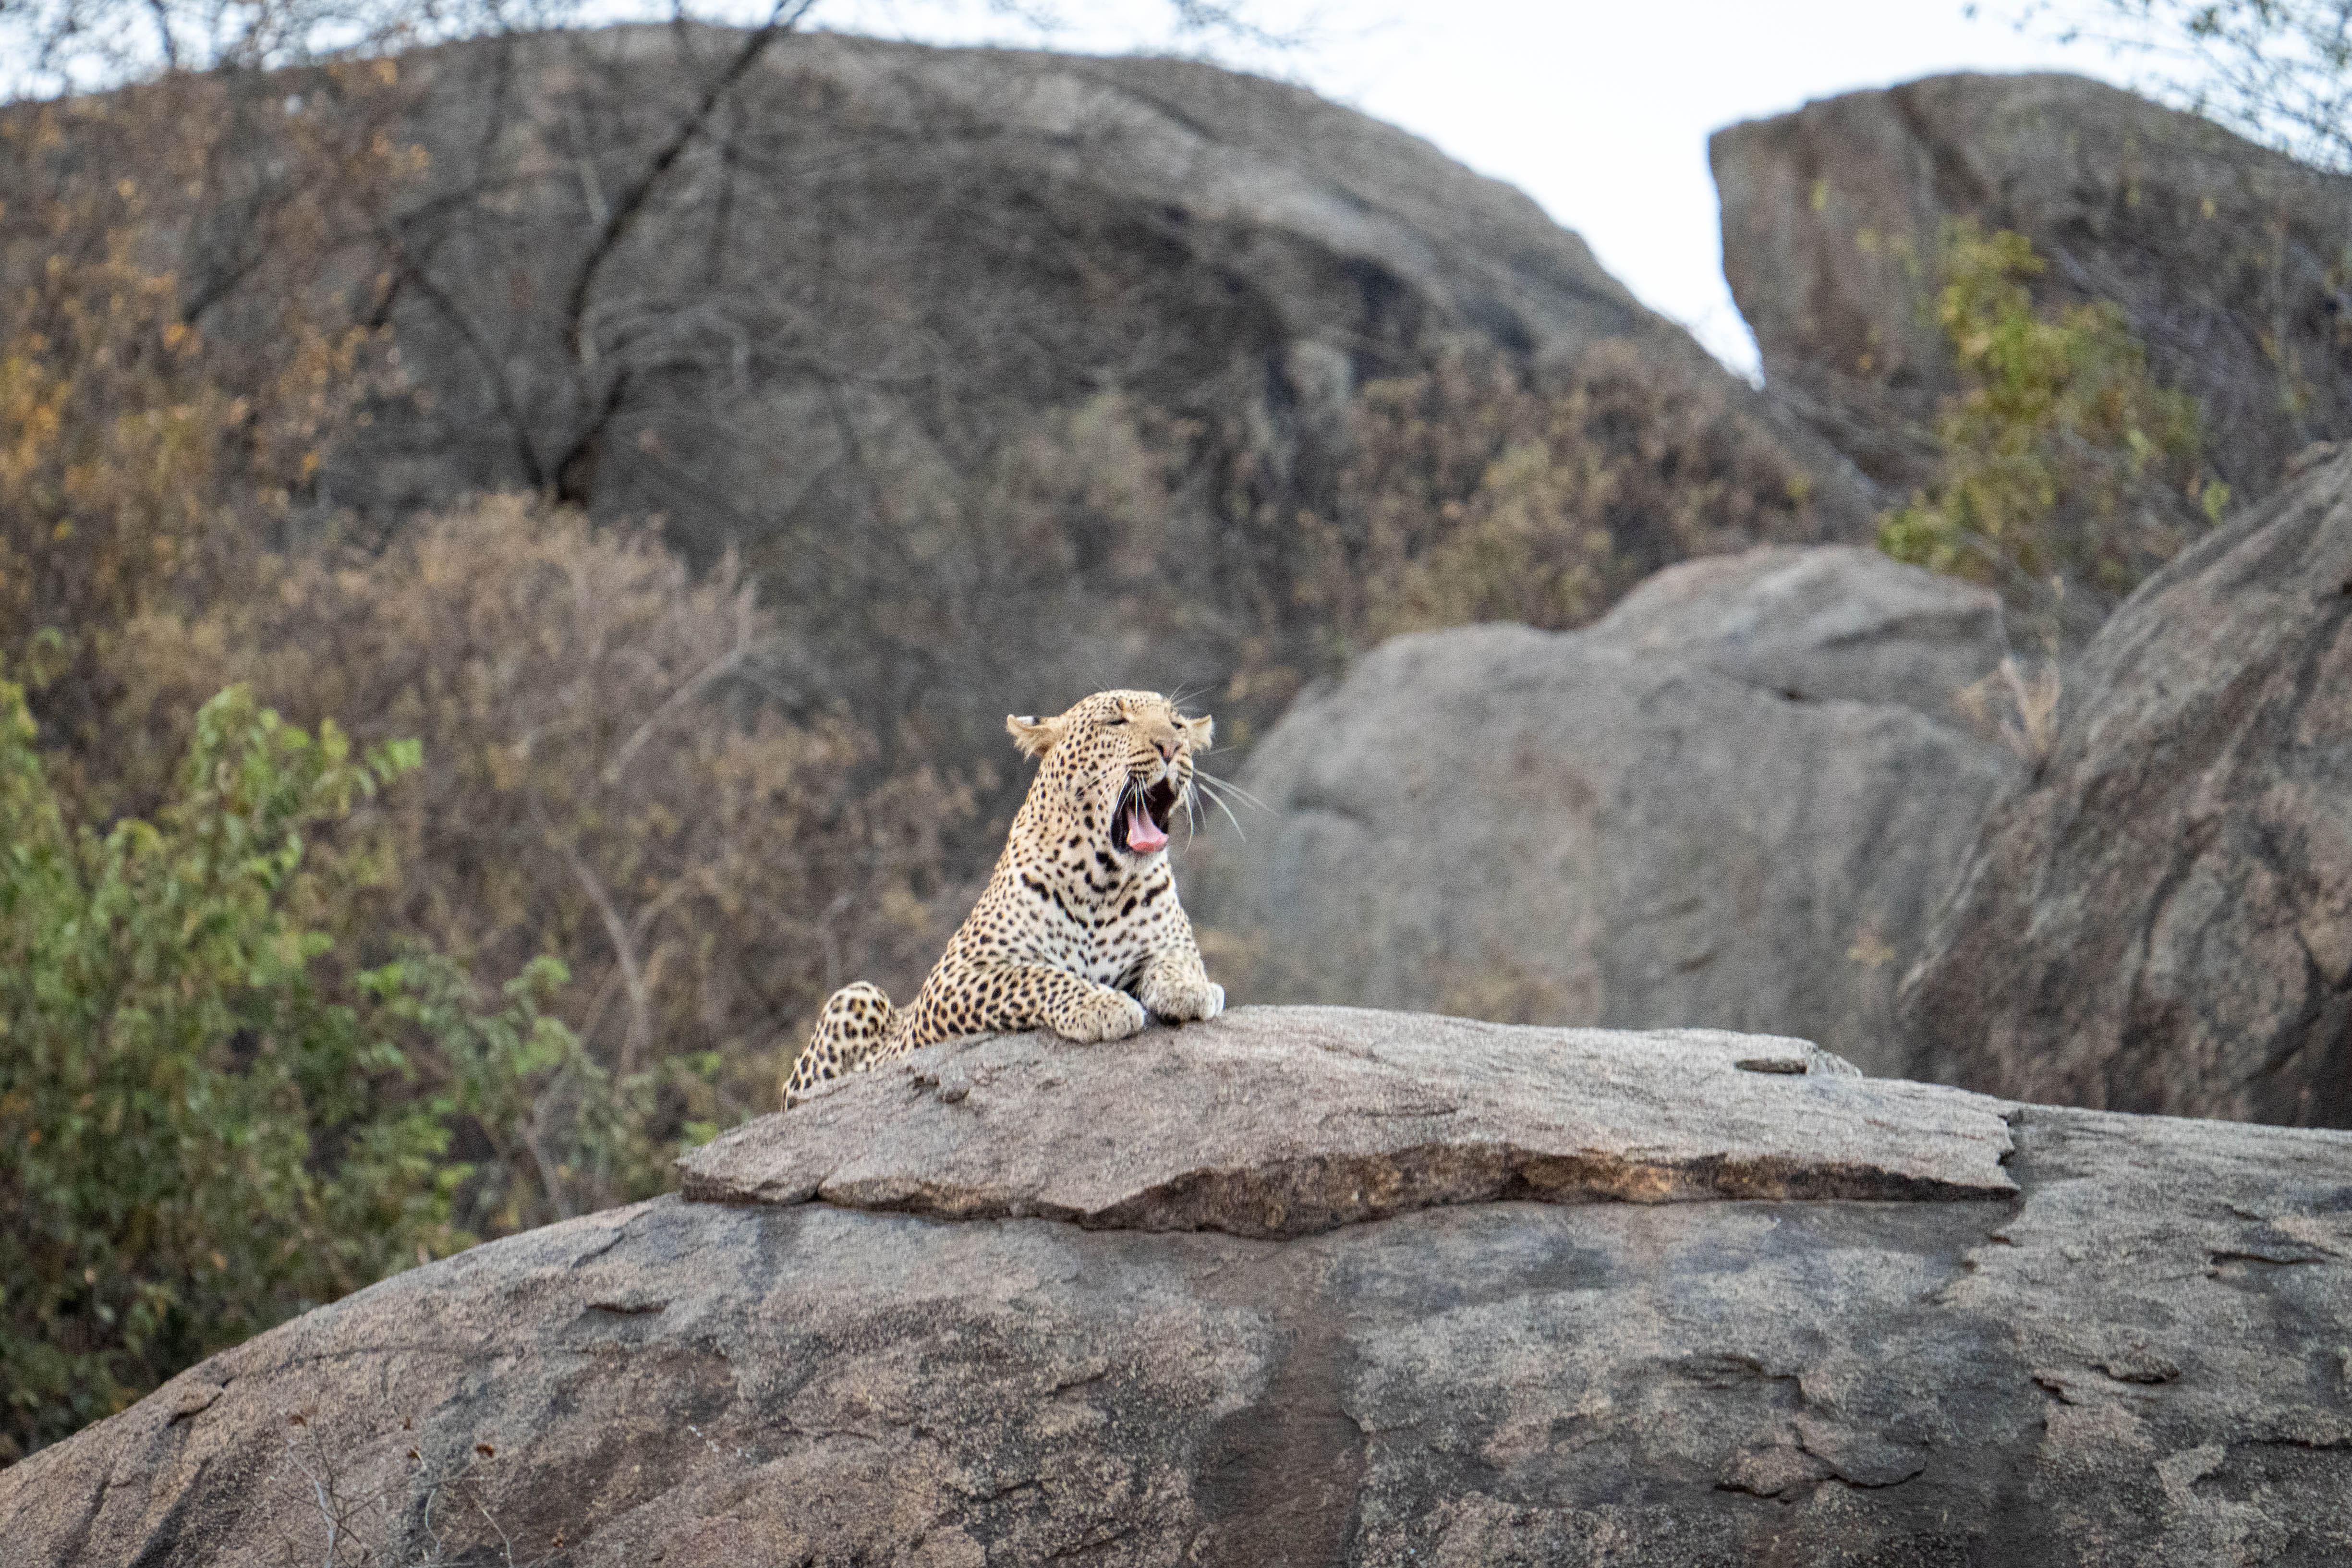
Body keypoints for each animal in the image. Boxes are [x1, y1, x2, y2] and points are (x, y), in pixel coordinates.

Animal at [782, 688, 1225, 1107]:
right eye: (1116, 721)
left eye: (1177, 724)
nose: (1172, 746)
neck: (1104, 882)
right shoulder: (955, 976)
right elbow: (1035, 975)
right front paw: (1101, 1006)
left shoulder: (1173, 944)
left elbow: (1177, 962)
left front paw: (1191, 990)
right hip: (855, 996)